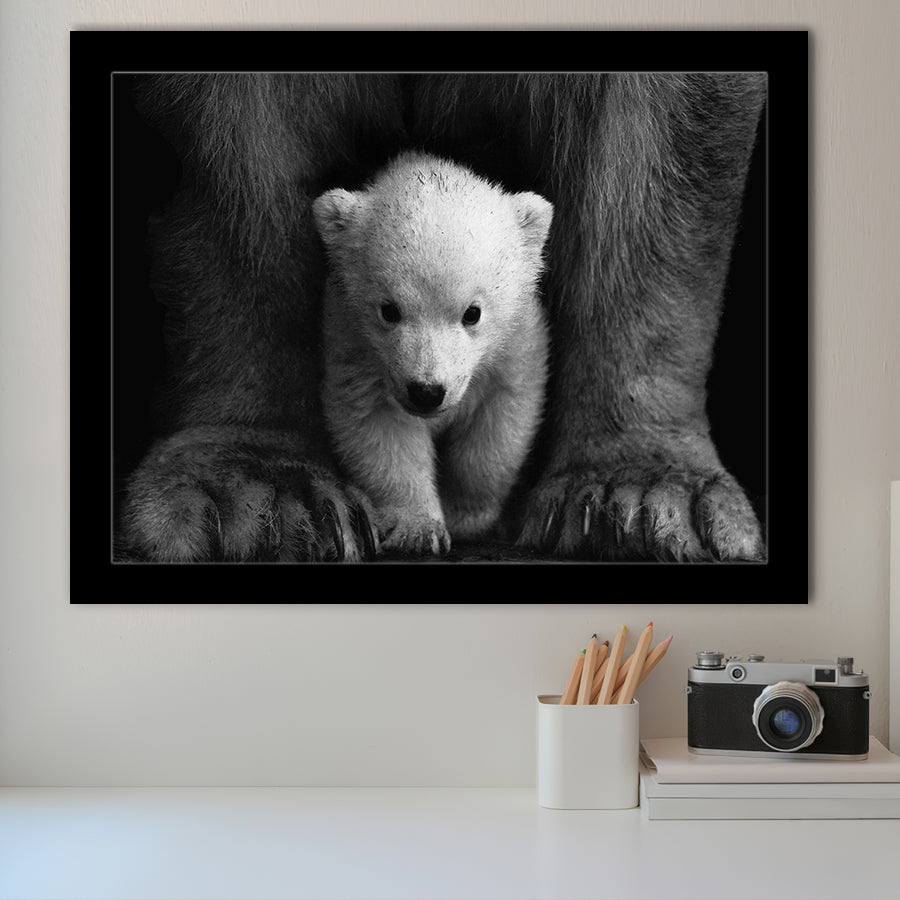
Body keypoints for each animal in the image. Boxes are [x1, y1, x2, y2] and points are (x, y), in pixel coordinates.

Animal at [312, 152, 552, 556]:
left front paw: (466, 516)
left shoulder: (515, 347)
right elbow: (380, 428)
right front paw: (418, 530)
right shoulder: (356, 348)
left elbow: (497, 428)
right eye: (389, 310)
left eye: (473, 313)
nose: (426, 392)